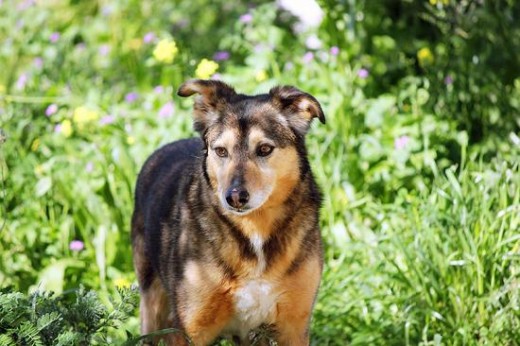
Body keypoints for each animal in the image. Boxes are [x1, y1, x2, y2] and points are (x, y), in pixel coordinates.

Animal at [130, 79, 324, 344]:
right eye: (221, 151)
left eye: (265, 149)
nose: (234, 197)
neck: (254, 232)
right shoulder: (190, 328)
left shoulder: (293, 327)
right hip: (152, 305)